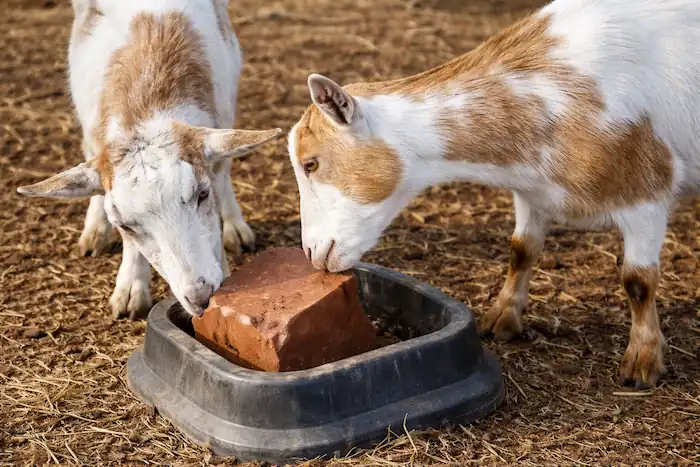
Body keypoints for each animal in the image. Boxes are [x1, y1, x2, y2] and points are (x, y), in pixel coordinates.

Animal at [17, 0, 281, 319]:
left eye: (202, 194)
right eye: (125, 225)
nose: (202, 297)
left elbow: (220, 179)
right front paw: (130, 291)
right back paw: (94, 233)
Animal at [287, 0, 700, 388]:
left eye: (311, 164)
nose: (311, 253)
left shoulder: (646, 192)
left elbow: (638, 281)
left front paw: (642, 362)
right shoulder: (533, 191)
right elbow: (521, 250)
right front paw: (502, 319)